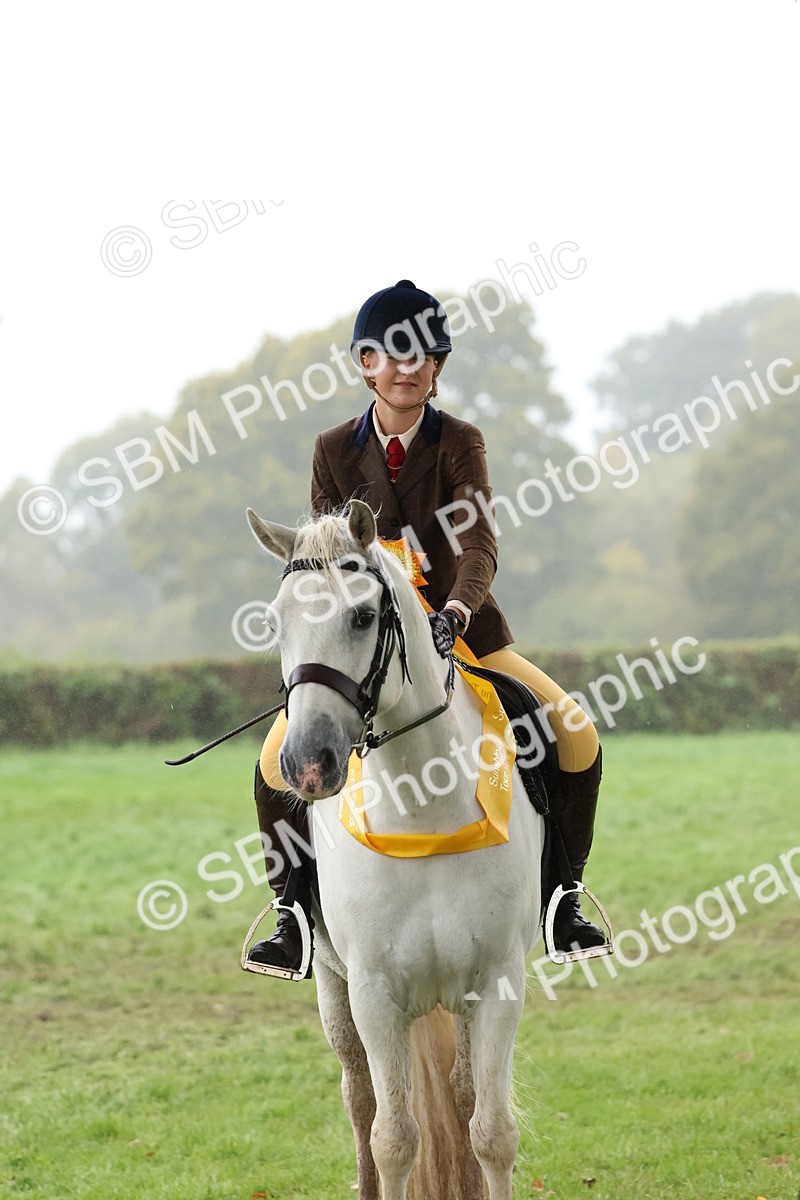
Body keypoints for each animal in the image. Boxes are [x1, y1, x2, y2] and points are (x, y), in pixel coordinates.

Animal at [246, 499, 546, 1200]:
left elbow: (493, 1132)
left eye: (362, 616)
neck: (424, 809)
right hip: (334, 988)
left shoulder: (497, 983)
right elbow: (395, 1137)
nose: (307, 764)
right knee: (360, 1101)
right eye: (274, 622)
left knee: (461, 1098)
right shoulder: (372, 992)